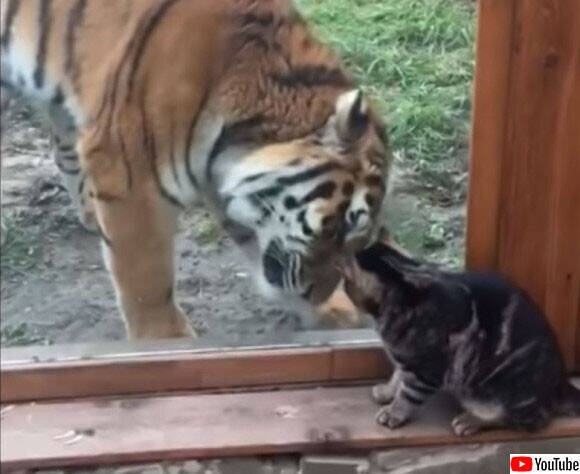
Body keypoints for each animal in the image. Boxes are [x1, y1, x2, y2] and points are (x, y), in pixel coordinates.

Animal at [0, 0, 392, 340]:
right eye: (335, 229)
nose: (316, 293)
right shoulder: (129, 178)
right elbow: (146, 279)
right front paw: (164, 342)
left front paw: (335, 312)